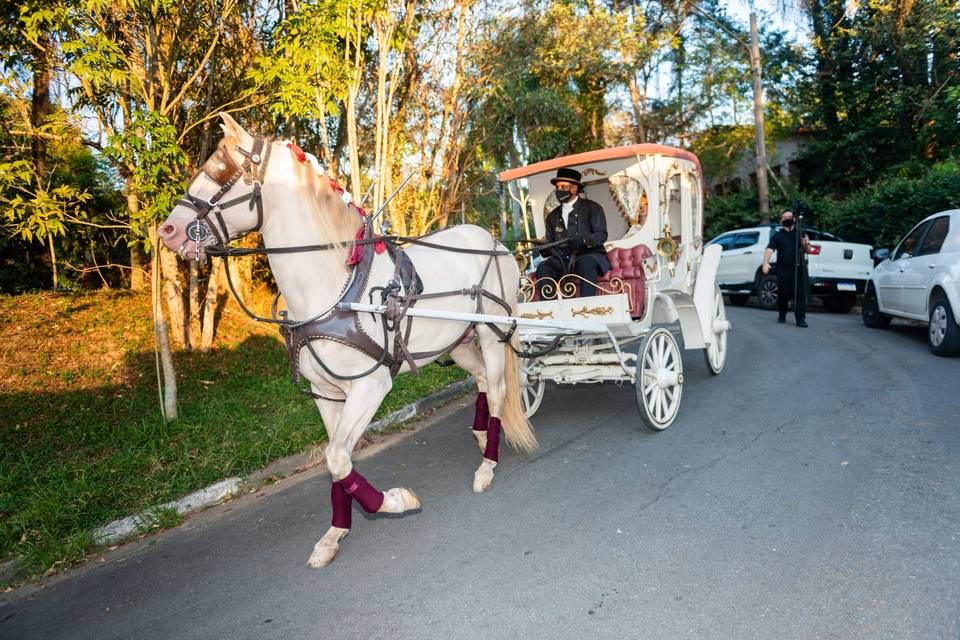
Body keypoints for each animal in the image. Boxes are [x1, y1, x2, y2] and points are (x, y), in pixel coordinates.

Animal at [157, 112, 532, 568]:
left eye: (221, 170)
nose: (169, 230)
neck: (333, 286)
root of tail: (493, 240)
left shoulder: (371, 385)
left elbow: (337, 457)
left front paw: (394, 501)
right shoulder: (326, 393)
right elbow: (336, 462)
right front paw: (334, 533)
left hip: (493, 332)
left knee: (497, 389)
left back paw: (487, 464)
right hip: (458, 342)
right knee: (480, 382)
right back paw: (480, 437)